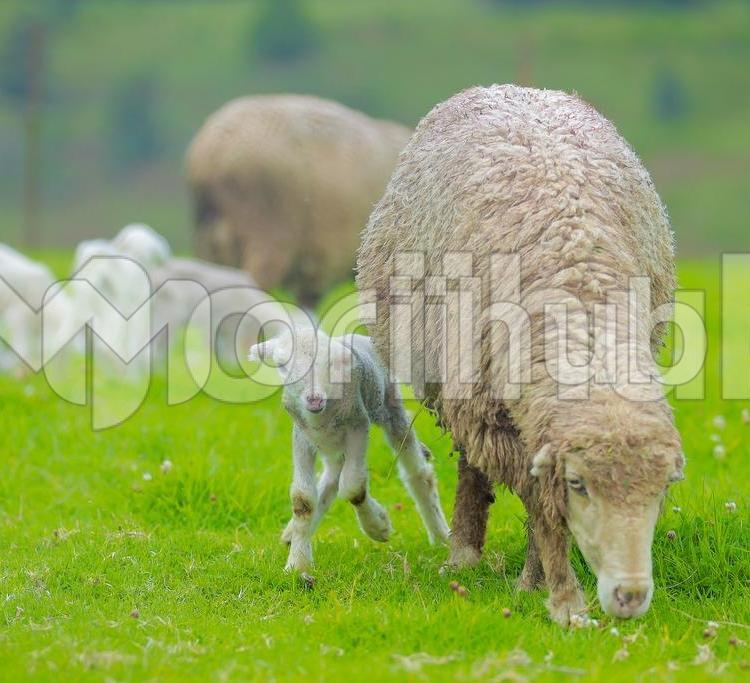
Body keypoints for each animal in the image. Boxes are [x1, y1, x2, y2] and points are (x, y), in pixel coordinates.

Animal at [248, 328, 450, 574]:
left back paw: (440, 535)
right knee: (330, 479)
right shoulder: (303, 436)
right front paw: (297, 563)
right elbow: (303, 499)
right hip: (330, 443)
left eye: (331, 363)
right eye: (282, 365)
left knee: (419, 474)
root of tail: (364, 338)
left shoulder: (357, 425)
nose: (314, 399)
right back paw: (291, 534)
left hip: (389, 408)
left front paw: (378, 526)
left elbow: (353, 488)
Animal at [356, 85, 684, 625]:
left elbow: (539, 503)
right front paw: (560, 595)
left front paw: (536, 580)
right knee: (470, 466)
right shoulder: (490, 413)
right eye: (579, 484)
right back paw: (463, 553)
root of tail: (512, 87)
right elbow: (539, 502)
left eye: (660, 491)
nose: (630, 596)